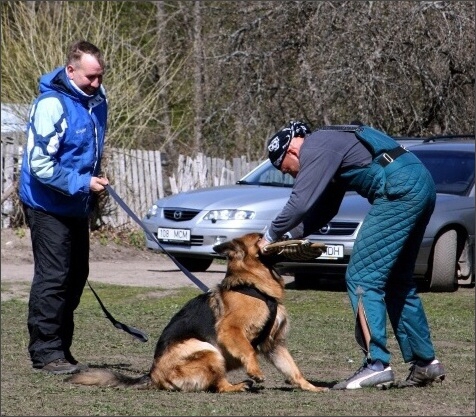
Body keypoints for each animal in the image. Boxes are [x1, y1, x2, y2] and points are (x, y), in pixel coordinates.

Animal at [67, 232, 328, 392]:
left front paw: (311, 387)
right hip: (208, 349)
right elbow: (247, 350)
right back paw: (238, 385)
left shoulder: (275, 345)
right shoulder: (231, 330)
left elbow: (293, 369)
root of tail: (153, 374)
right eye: (261, 237)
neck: (253, 286)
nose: (287, 235)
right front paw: (255, 370)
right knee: (220, 386)